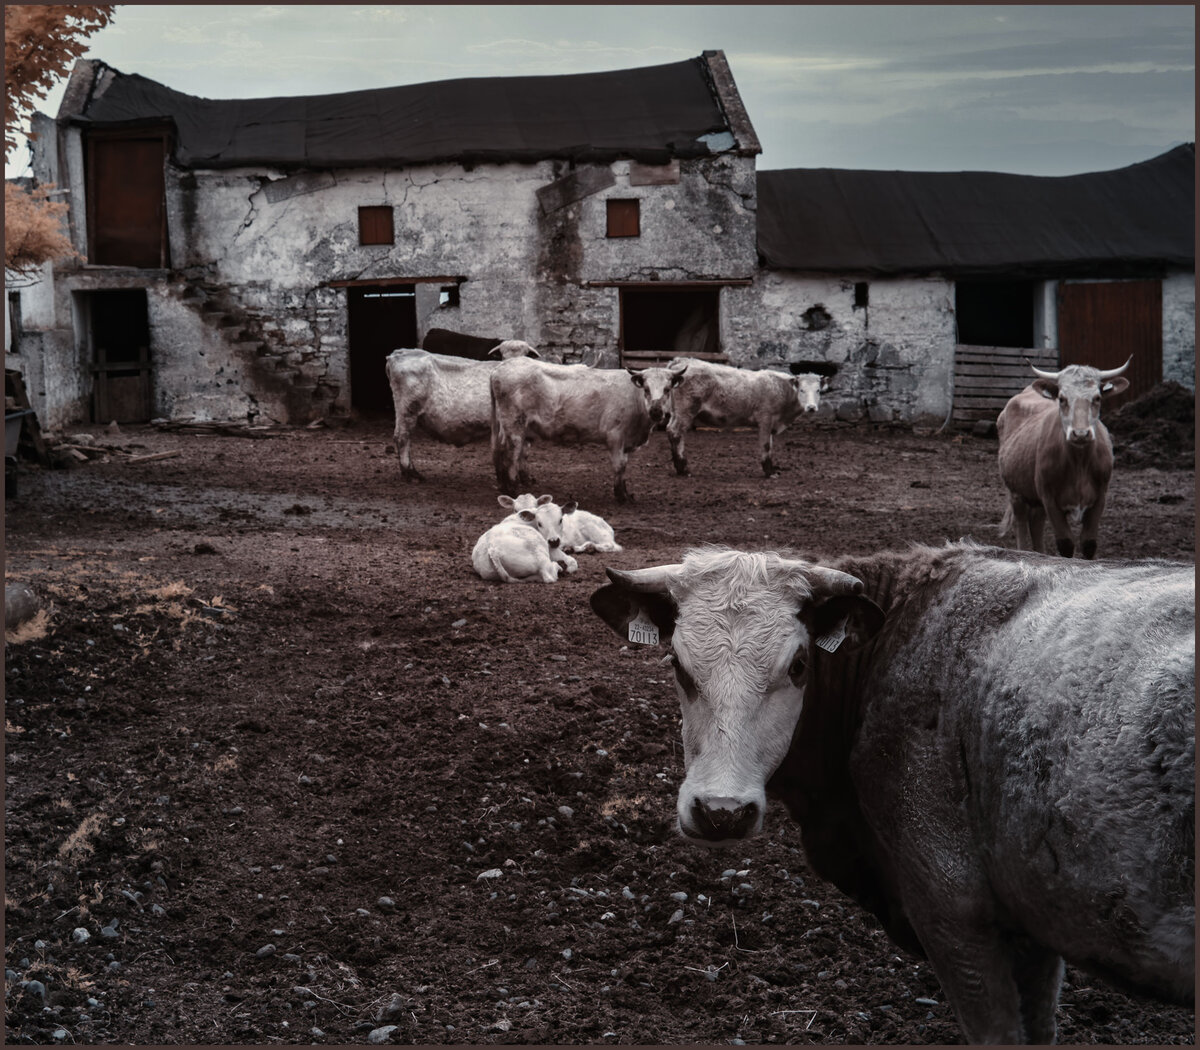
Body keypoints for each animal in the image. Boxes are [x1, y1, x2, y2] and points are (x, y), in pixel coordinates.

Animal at [385, 342, 539, 481]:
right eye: (503, 356)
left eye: (525, 356)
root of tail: (400, 353)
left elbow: (522, 451)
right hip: (407, 409)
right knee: (402, 437)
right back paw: (411, 473)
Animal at [490, 358, 686, 503]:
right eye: (646, 389)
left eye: (667, 389)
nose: (656, 411)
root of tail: (500, 367)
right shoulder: (615, 437)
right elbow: (619, 465)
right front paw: (620, 495)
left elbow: (624, 466)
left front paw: (625, 493)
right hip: (514, 425)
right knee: (512, 452)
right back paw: (513, 489)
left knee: (501, 450)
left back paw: (504, 484)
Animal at [665, 358, 830, 477]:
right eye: (802, 390)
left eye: (818, 390)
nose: (811, 407)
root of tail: (682, 361)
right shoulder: (765, 418)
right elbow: (766, 445)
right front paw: (769, 472)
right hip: (686, 410)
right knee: (676, 433)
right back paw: (683, 469)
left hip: (676, 412)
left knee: (672, 431)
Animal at [996, 359, 1131, 559]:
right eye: (1061, 398)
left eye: (1097, 398)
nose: (1080, 434)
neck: (1079, 464)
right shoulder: (1050, 499)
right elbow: (1066, 544)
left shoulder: (1100, 498)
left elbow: (1089, 544)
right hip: (1016, 492)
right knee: (1021, 524)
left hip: (1035, 499)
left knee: (1036, 524)